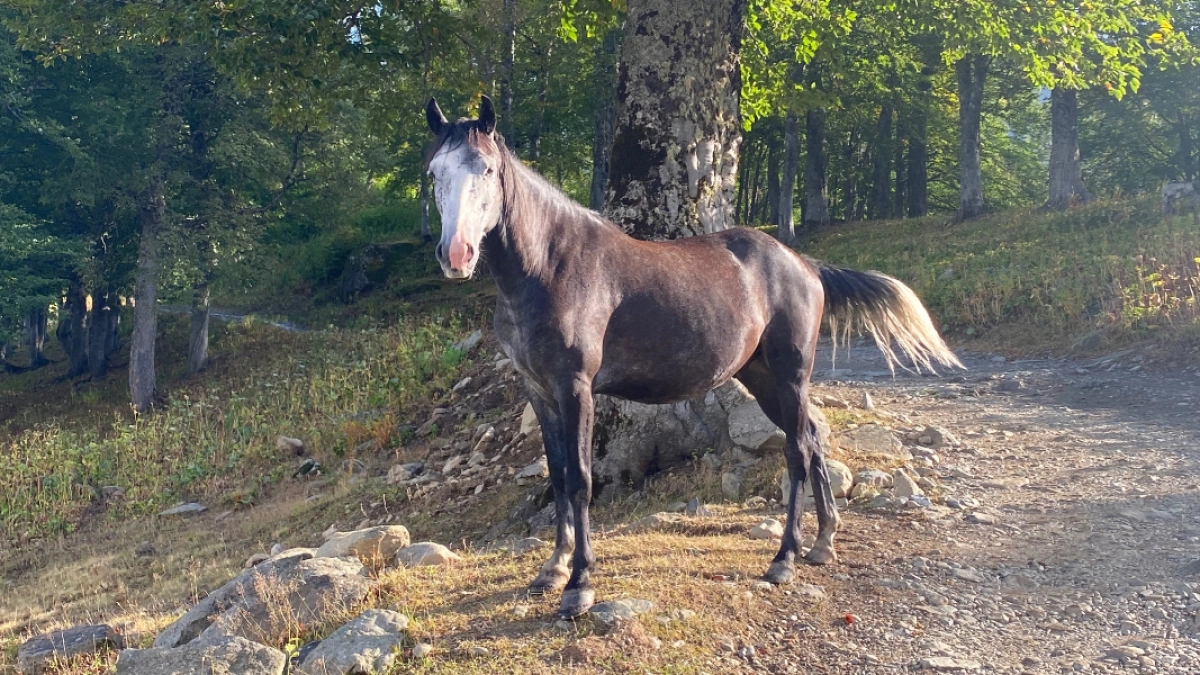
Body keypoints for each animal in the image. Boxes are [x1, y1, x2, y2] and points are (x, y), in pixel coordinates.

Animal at [424, 96, 962, 618]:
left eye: (487, 169)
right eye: (434, 172)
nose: (457, 254)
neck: (551, 267)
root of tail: (804, 265)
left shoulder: (576, 388)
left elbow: (579, 480)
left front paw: (580, 587)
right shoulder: (539, 392)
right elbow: (557, 478)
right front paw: (553, 569)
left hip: (790, 374)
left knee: (795, 451)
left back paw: (785, 558)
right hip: (760, 377)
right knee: (810, 439)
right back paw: (823, 542)